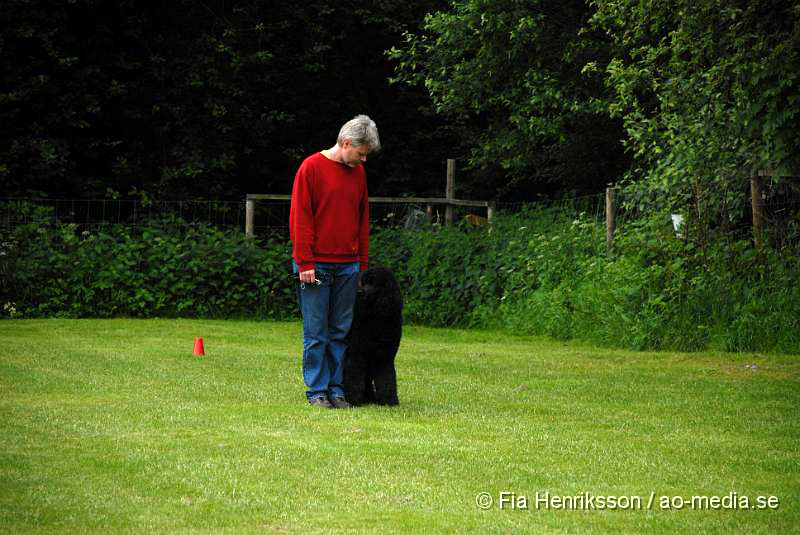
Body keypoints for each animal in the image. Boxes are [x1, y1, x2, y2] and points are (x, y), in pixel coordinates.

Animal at [346, 268, 404, 406]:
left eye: (372, 283)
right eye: (362, 282)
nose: (358, 293)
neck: (376, 318)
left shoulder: (385, 356)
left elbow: (386, 378)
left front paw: (389, 400)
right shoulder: (357, 353)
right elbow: (355, 376)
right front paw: (353, 400)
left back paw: (370, 398)